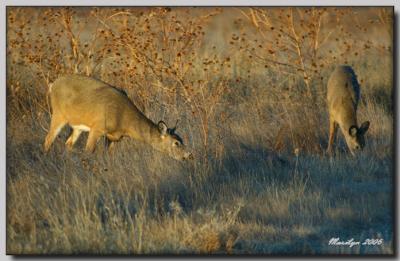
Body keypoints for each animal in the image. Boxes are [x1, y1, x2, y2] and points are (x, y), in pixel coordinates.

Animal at [43, 73, 194, 160]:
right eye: (176, 143)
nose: (189, 155)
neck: (124, 121)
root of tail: (52, 85)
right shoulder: (97, 128)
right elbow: (88, 152)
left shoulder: (115, 138)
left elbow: (110, 156)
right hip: (59, 114)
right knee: (48, 139)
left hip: (77, 126)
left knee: (68, 143)